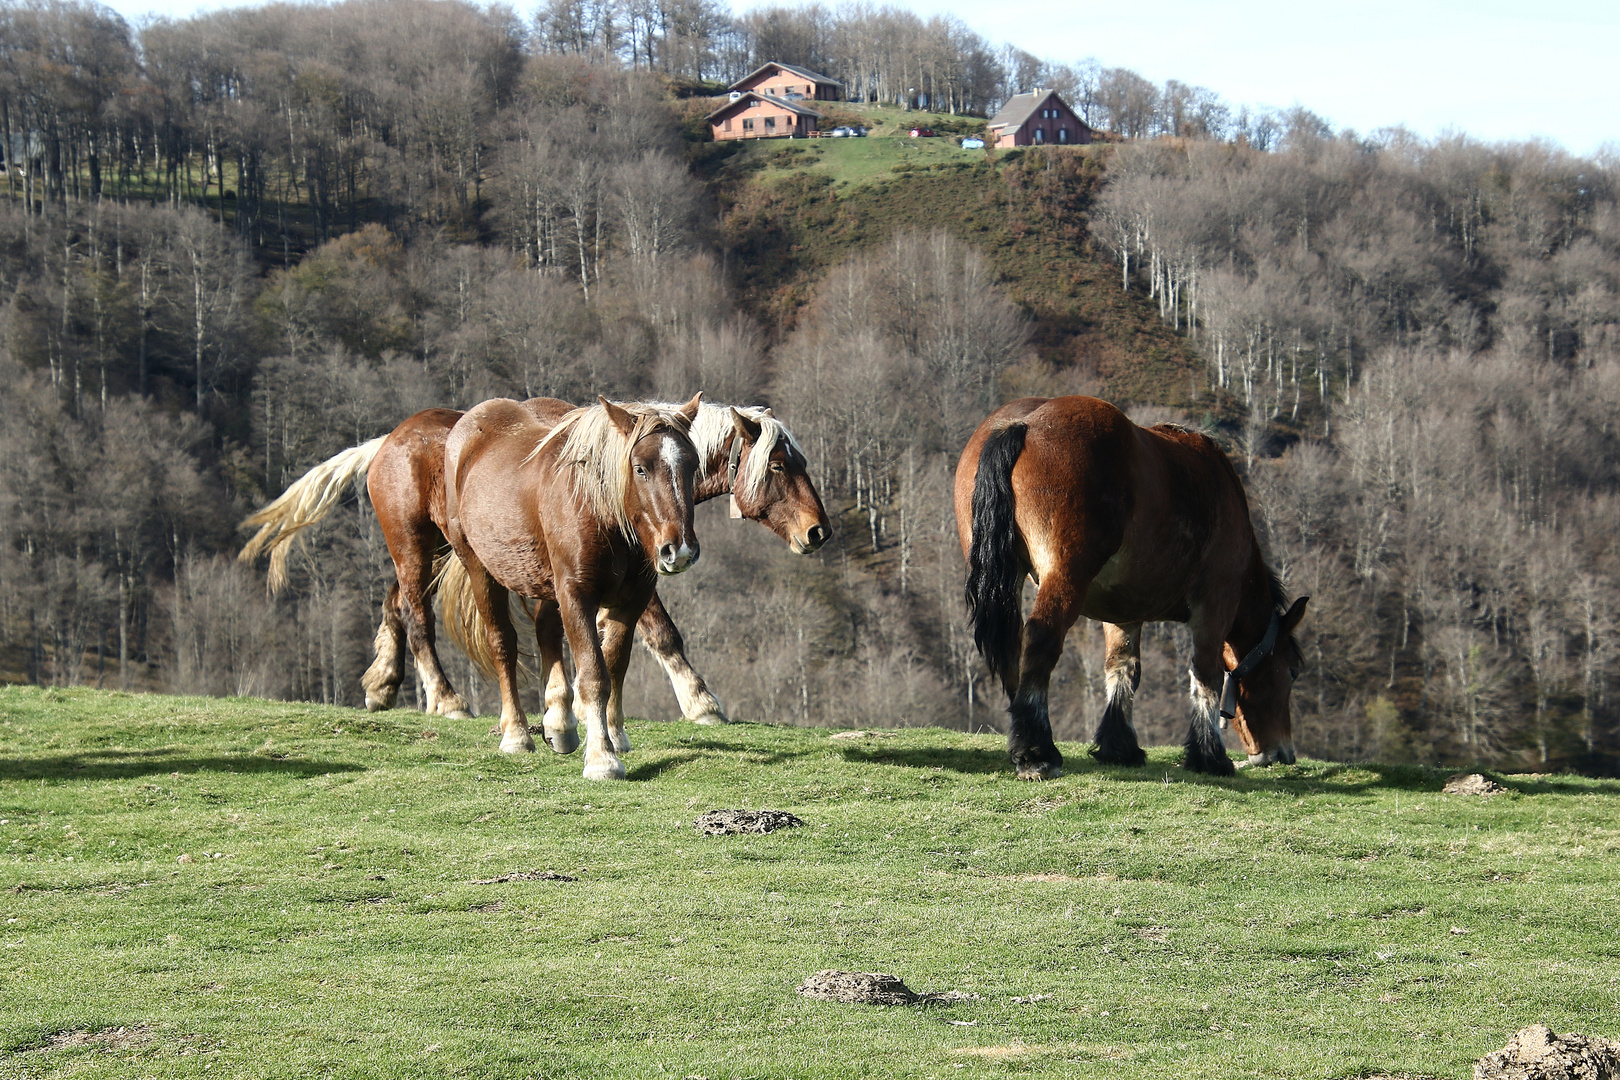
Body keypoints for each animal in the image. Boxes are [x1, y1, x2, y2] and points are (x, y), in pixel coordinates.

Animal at [443, 396, 703, 777]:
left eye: (692, 466)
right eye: (641, 468)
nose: (679, 549)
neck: (599, 509)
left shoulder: (631, 600)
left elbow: (615, 666)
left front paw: (613, 735)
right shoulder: (577, 595)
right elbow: (594, 675)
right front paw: (601, 758)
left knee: (546, 631)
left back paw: (560, 723)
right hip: (480, 568)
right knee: (502, 643)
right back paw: (516, 734)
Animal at [952, 395, 1308, 777]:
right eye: (1292, 671)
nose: (1282, 753)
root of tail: (1024, 424)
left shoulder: (1123, 611)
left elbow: (1122, 668)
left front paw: (1119, 746)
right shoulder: (1216, 604)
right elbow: (1206, 675)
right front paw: (1209, 755)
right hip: (1065, 578)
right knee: (1039, 640)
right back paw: (1036, 750)